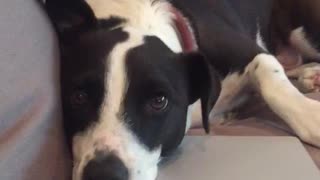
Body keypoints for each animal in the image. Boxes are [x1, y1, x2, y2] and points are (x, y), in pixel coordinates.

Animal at [44, 0, 320, 179]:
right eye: (78, 97)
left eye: (159, 101)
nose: (103, 174)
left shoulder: (252, 53)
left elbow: (273, 83)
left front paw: (312, 118)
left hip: (305, 32)